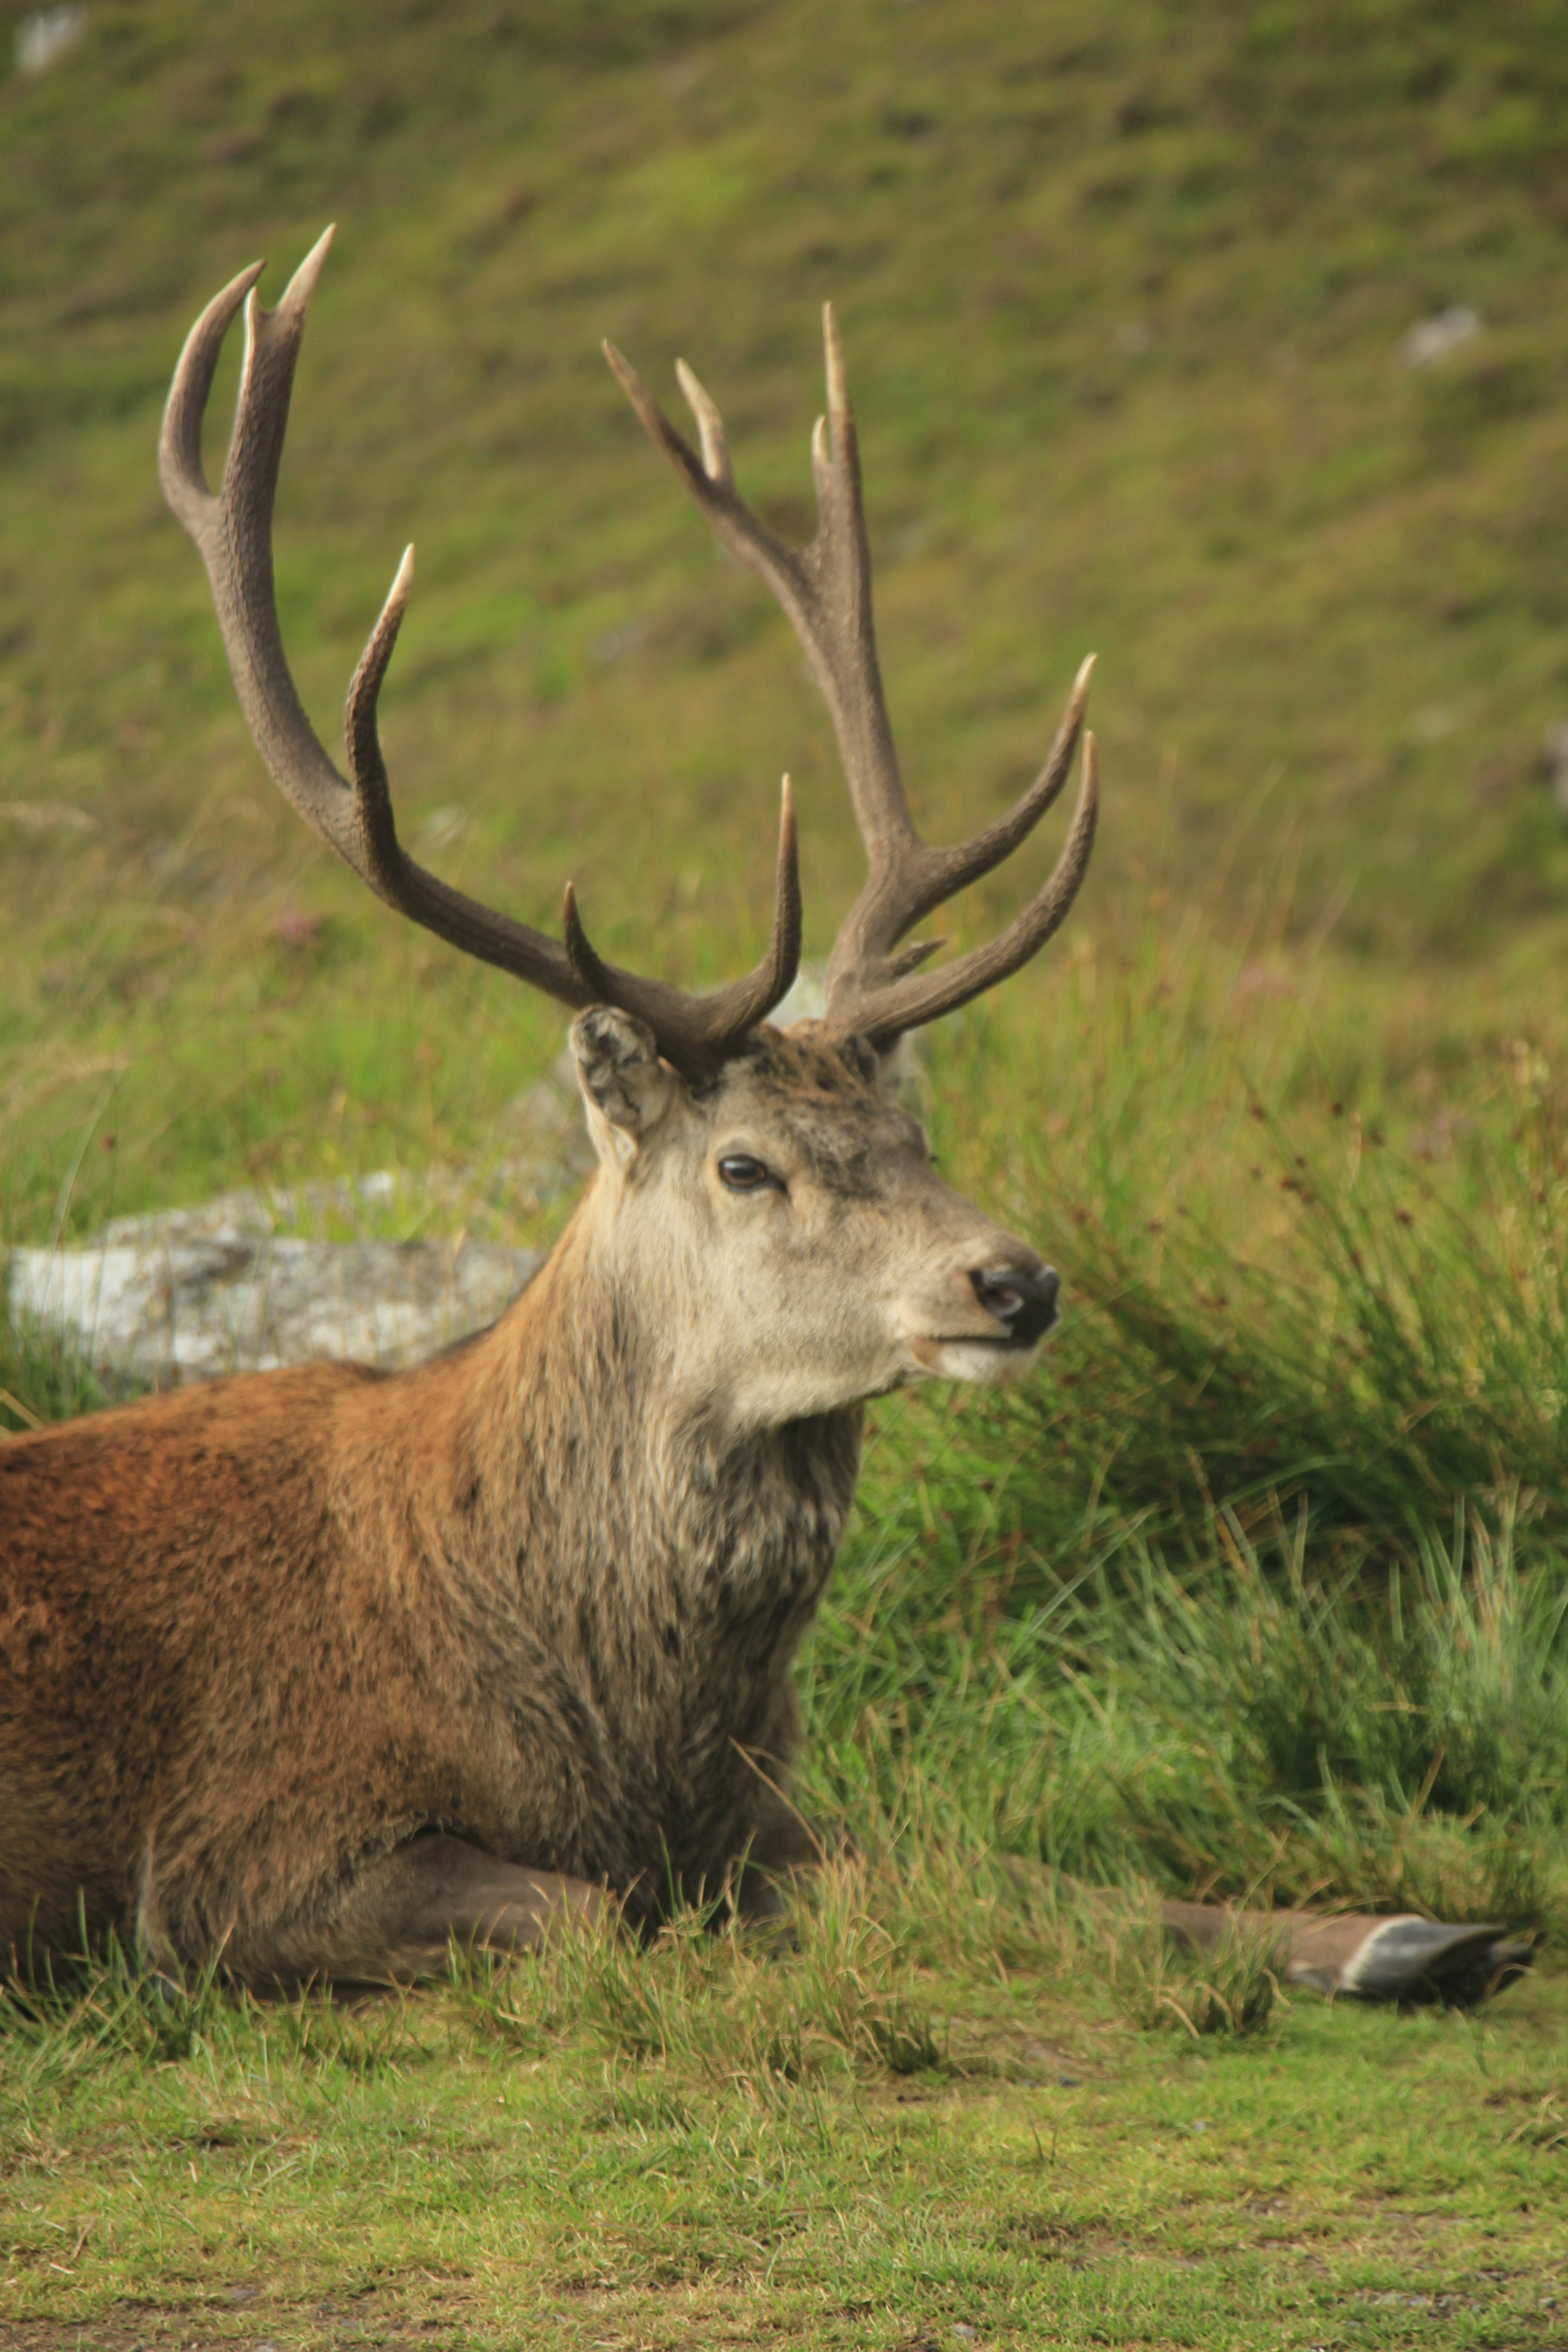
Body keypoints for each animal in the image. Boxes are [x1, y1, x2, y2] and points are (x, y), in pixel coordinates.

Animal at [0, 234, 1528, 2008]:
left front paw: (1412, 1931)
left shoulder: (765, 1818)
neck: (607, 1722)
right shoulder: (242, 1854)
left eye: (920, 1140)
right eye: (745, 1164)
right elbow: (604, 1912)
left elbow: (1031, 1877)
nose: (1017, 1283)